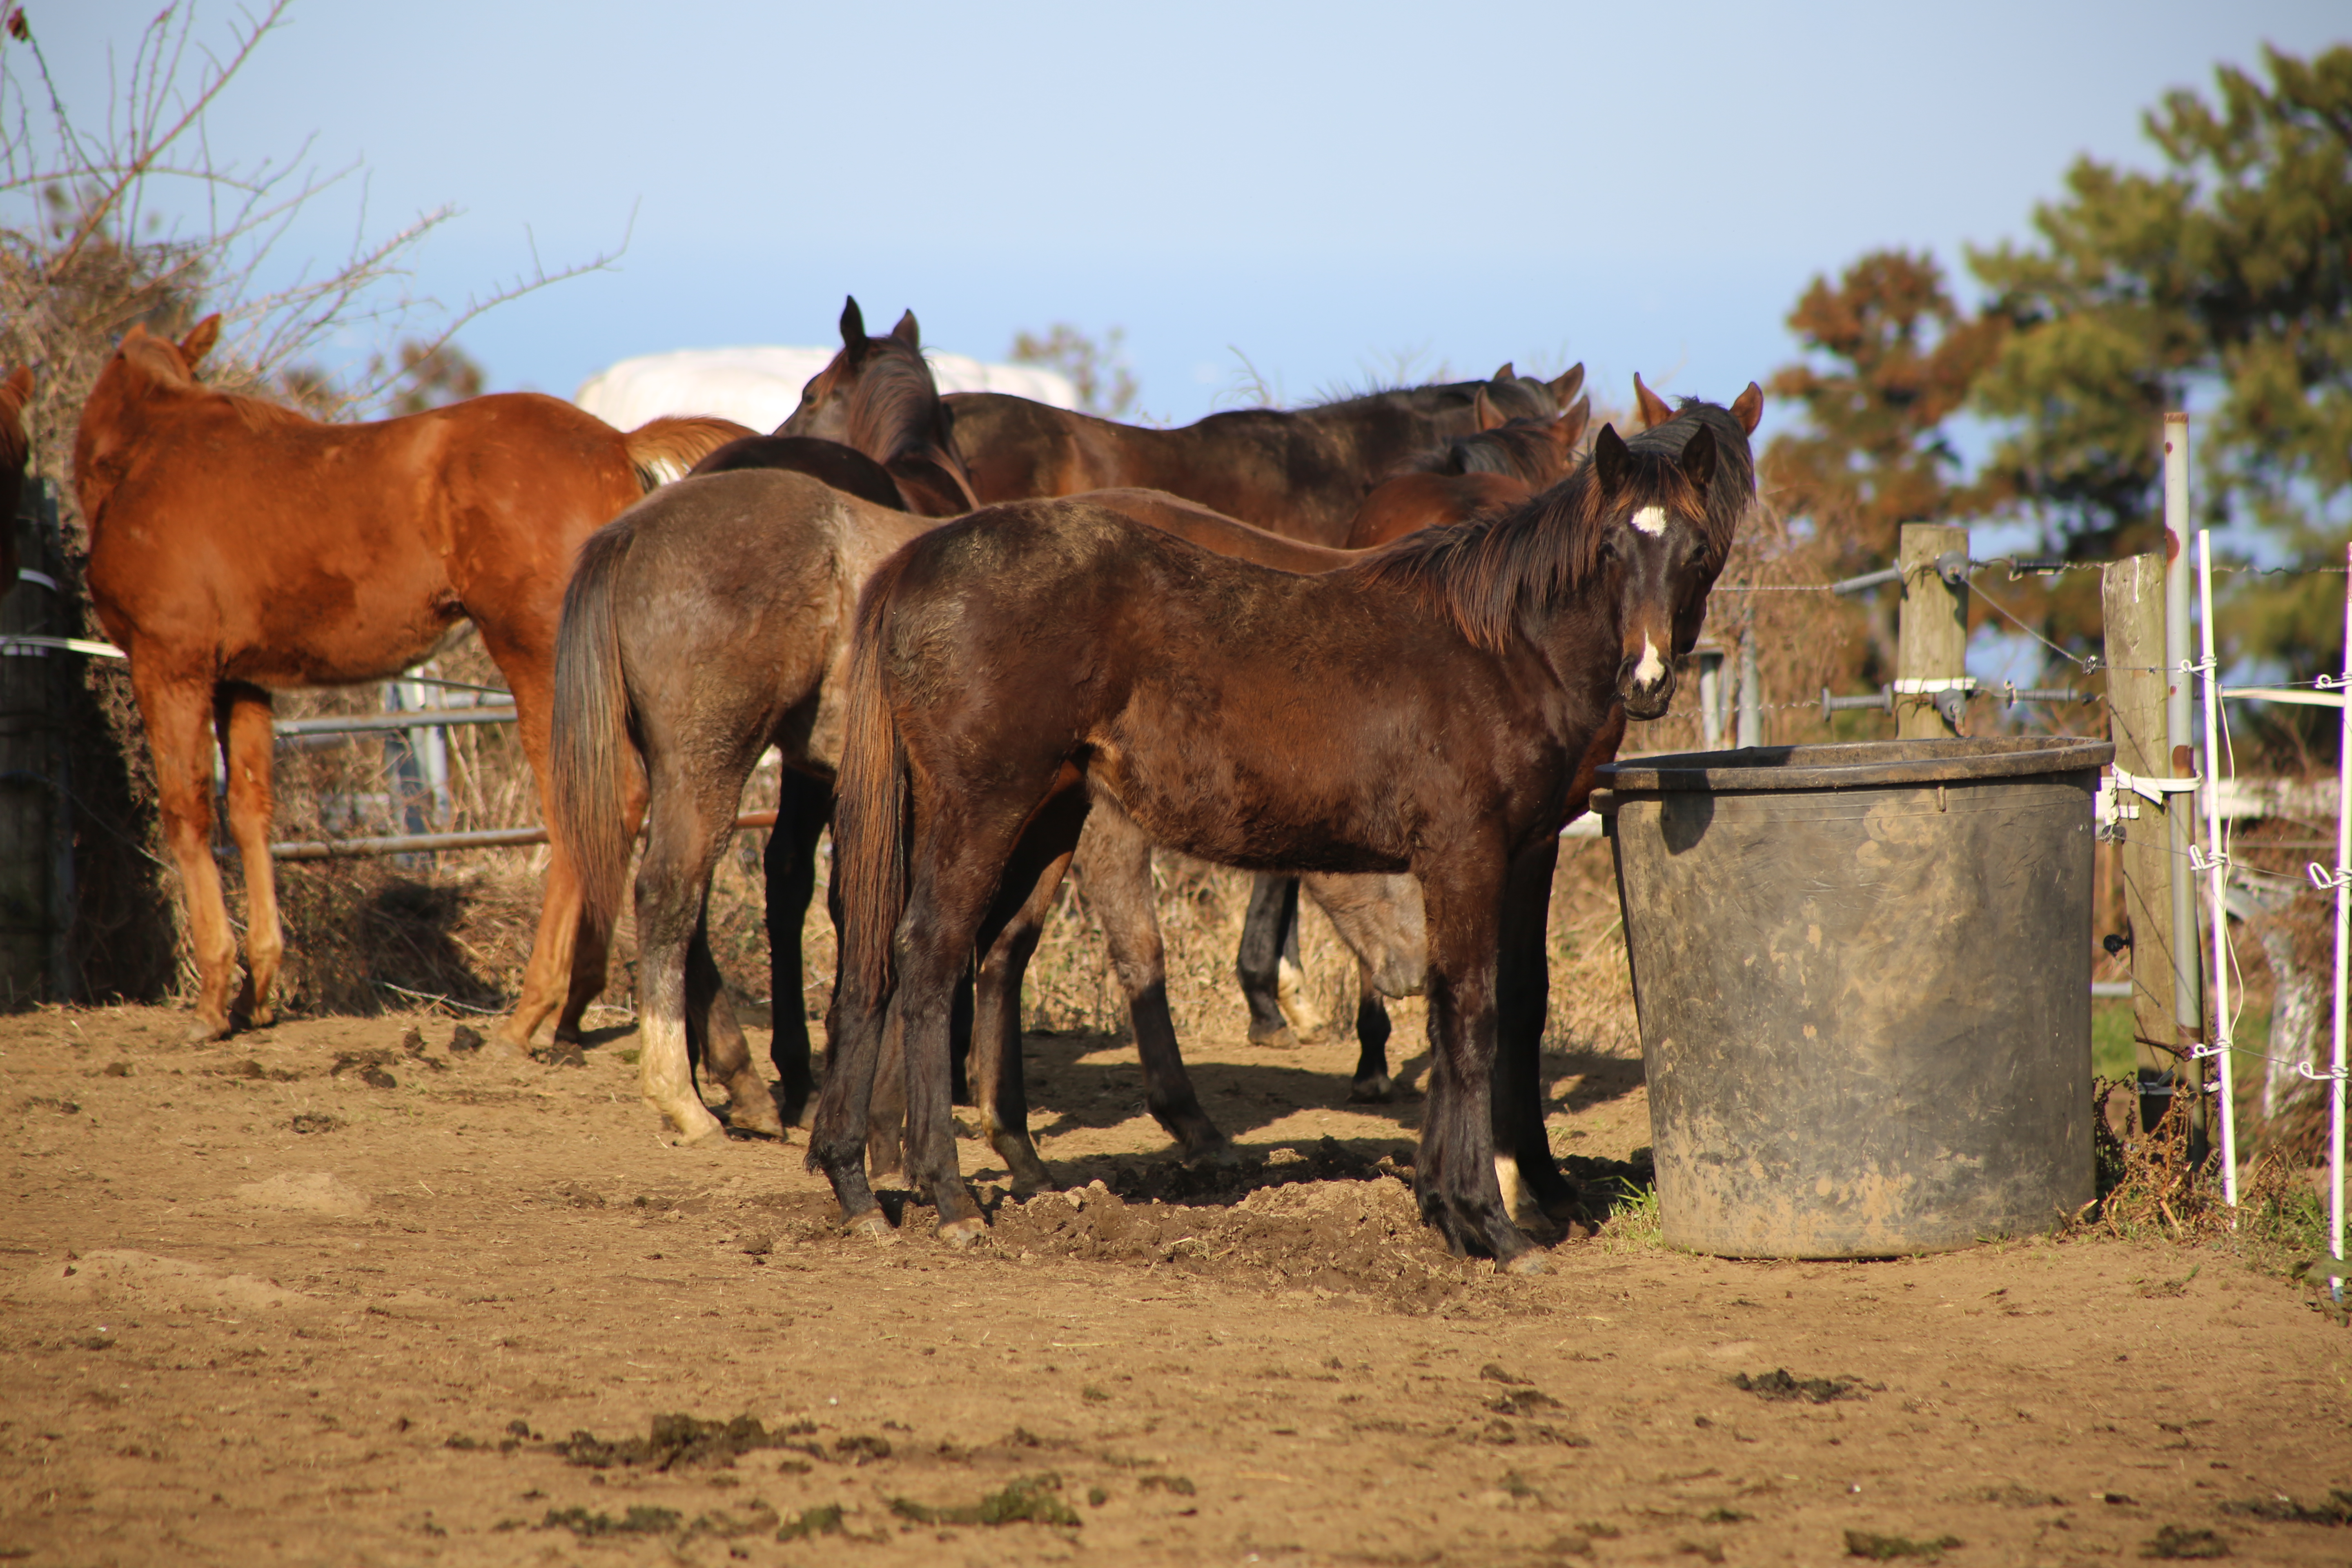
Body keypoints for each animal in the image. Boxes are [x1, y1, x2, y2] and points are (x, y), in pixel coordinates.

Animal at [78, 315, 748, 1053]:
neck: (149, 457)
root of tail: (615, 443)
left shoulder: (170, 666)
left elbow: (186, 811)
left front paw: (212, 999)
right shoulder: (243, 682)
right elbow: (251, 815)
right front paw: (258, 992)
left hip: (538, 662)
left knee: (586, 801)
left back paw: (531, 1011)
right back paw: (571, 1009)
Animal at [818, 385, 1759, 1269]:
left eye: (1699, 549)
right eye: (1610, 548)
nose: (1646, 680)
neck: (1501, 649)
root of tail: (915, 558)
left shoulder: (1523, 854)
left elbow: (1493, 1008)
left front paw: (1476, 1198)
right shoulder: (1466, 855)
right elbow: (1471, 1014)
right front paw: (1486, 1221)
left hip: (1040, 815)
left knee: (942, 956)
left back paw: (864, 1179)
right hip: (982, 808)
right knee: (929, 954)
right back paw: (946, 1195)